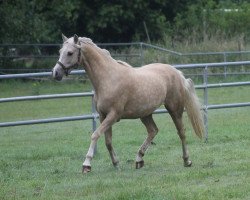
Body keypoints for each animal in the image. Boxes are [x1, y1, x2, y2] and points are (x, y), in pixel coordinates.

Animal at [51, 34, 204, 173]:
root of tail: (177, 72)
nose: (55, 73)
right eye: (60, 51)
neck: (107, 77)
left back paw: (187, 160)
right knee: (153, 130)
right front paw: (116, 164)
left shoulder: (113, 115)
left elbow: (95, 134)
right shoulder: (103, 115)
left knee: (181, 132)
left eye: (70, 53)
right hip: (145, 113)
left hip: (174, 109)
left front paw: (86, 164)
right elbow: (108, 141)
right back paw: (139, 159)